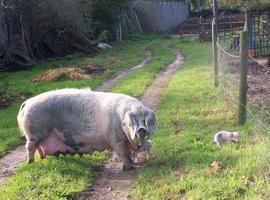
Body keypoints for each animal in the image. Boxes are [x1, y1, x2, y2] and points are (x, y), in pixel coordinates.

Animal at [17, 88, 156, 170]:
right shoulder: (114, 139)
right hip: (34, 133)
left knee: (39, 148)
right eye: (130, 124)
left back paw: (42, 158)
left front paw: (133, 164)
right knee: (29, 147)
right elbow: (123, 153)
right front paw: (129, 168)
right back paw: (30, 163)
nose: (141, 130)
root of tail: (27, 103)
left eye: (144, 120)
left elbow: (128, 153)